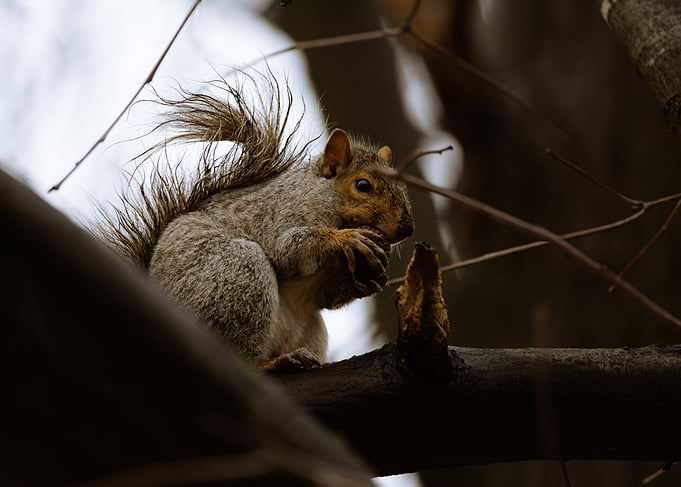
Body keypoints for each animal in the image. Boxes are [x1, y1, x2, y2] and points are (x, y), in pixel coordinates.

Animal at [98, 74, 414, 369]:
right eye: (363, 185)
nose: (407, 228)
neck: (325, 197)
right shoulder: (279, 215)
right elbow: (288, 249)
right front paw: (344, 239)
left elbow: (327, 298)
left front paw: (365, 281)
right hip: (238, 276)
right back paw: (274, 363)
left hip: (309, 327)